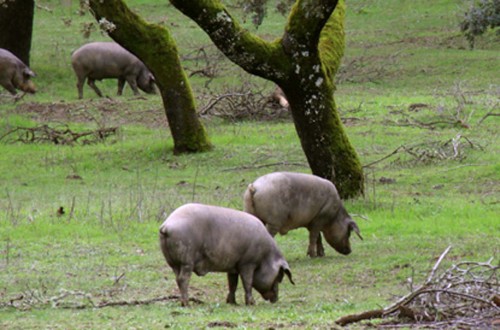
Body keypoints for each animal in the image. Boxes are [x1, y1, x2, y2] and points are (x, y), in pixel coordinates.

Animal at [159, 202, 292, 308]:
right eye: (279, 277)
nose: (276, 299)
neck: (265, 256)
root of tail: (167, 226)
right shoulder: (247, 263)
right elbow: (247, 282)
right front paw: (251, 303)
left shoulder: (233, 266)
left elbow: (232, 283)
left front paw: (232, 303)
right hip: (186, 260)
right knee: (183, 278)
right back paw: (187, 304)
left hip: (173, 262)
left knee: (177, 278)